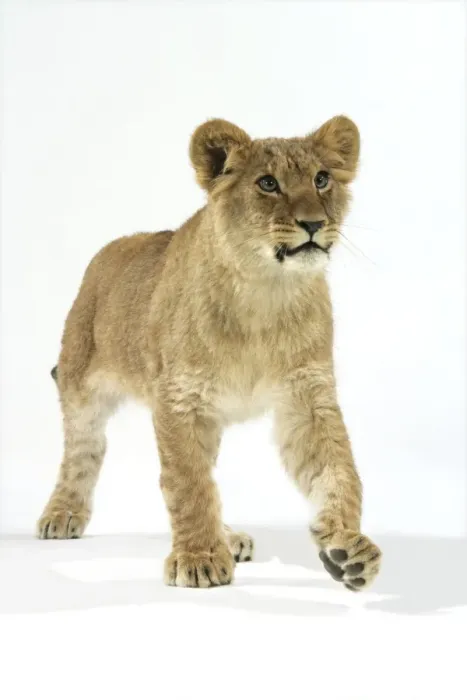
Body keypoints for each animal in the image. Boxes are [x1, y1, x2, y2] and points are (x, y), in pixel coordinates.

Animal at [37, 115, 382, 590]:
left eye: (322, 179)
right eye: (268, 183)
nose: (314, 223)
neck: (265, 292)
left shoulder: (308, 397)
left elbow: (338, 469)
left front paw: (349, 547)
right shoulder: (179, 399)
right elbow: (188, 482)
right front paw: (198, 558)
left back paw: (231, 537)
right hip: (80, 379)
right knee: (83, 449)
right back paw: (62, 513)